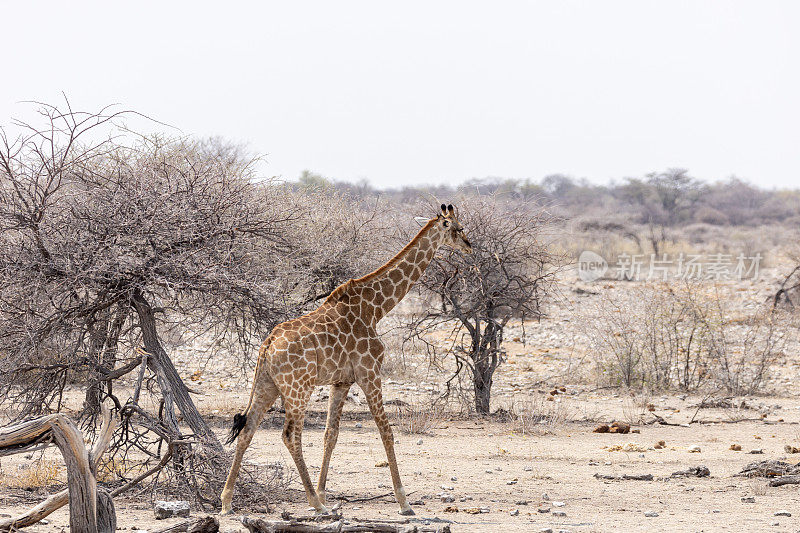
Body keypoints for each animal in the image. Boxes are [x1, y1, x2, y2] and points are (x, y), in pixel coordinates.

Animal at [219, 203, 472, 516]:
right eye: (458, 228)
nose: (470, 246)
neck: (376, 308)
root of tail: (266, 346)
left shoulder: (341, 381)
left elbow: (331, 435)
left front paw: (323, 492)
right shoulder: (369, 373)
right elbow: (386, 431)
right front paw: (403, 502)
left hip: (269, 385)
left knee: (248, 429)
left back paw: (227, 502)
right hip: (298, 388)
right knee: (290, 435)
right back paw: (314, 504)